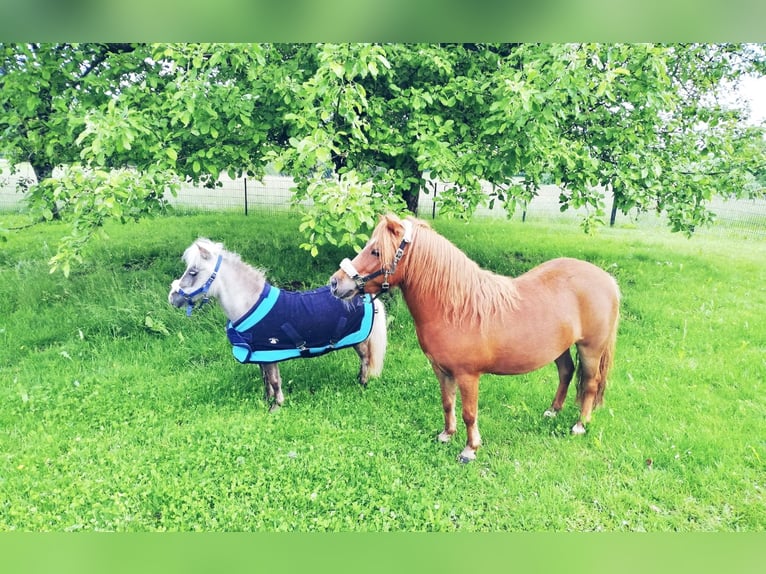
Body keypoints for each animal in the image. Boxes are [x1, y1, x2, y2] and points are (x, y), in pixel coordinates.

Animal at [166, 237, 384, 410]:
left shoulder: (271, 352)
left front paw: (276, 406)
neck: (250, 303)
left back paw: (362, 384)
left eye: (193, 272)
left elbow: (274, 379)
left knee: (365, 359)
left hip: (358, 340)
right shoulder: (261, 353)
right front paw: (266, 400)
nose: (172, 297)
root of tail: (366, 296)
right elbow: (265, 379)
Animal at [332, 215, 620, 464]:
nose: (335, 283)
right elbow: (448, 403)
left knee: (590, 384)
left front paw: (470, 449)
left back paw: (580, 425)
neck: (456, 308)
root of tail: (607, 279)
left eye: (376, 251)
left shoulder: (468, 376)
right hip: (559, 348)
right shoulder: (441, 370)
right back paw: (552, 411)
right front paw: (446, 435)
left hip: (591, 349)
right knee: (566, 372)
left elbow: (469, 413)